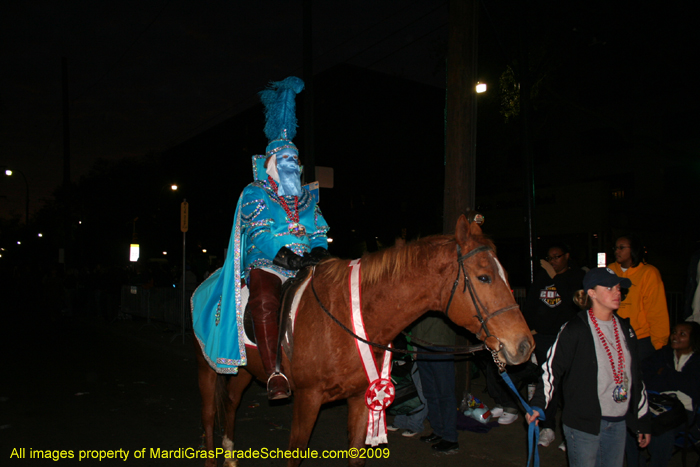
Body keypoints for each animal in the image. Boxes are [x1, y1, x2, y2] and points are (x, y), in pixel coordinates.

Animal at [197, 214, 536, 466]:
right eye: (484, 277)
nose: (524, 345)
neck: (346, 316)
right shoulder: (307, 399)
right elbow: (295, 454)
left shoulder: (360, 396)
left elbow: (356, 456)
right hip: (208, 368)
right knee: (210, 413)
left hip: (244, 369)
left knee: (231, 402)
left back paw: (230, 454)